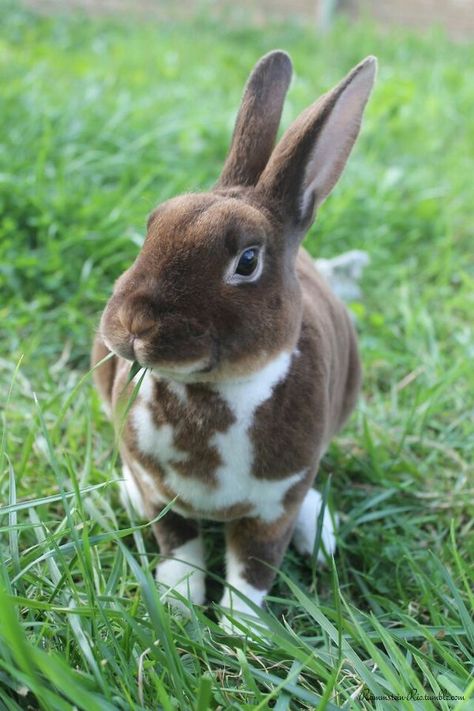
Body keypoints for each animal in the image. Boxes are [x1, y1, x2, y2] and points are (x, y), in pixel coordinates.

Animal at [90, 50, 376, 628]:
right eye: (152, 225)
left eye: (247, 261)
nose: (133, 327)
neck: (213, 394)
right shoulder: (163, 496)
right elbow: (180, 549)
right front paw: (177, 609)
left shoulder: (273, 508)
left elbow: (252, 571)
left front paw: (242, 635)